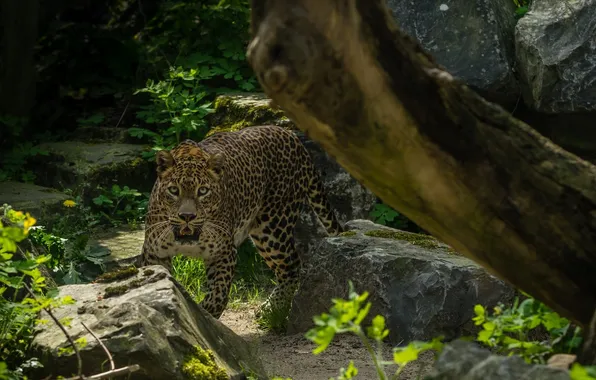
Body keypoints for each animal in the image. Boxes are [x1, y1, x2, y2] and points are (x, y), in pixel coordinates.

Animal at [141, 124, 344, 318]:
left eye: (203, 191)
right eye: (174, 190)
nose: (187, 216)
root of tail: (292, 136)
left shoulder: (223, 252)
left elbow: (218, 296)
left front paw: (204, 316)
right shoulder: (154, 253)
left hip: (272, 228)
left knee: (292, 266)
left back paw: (272, 308)